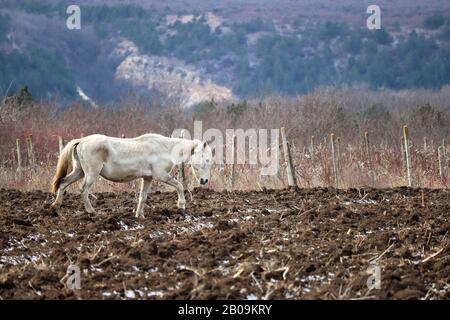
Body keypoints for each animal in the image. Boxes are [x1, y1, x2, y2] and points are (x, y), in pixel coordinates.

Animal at [50, 132, 212, 218]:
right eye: (207, 159)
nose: (205, 180)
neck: (165, 148)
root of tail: (81, 141)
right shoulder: (161, 175)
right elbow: (179, 186)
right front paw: (181, 205)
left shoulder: (147, 178)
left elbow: (143, 196)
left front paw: (140, 215)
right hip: (91, 174)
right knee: (83, 191)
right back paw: (92, 211)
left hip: (79, 172)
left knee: (63, 182)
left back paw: (55, 206)